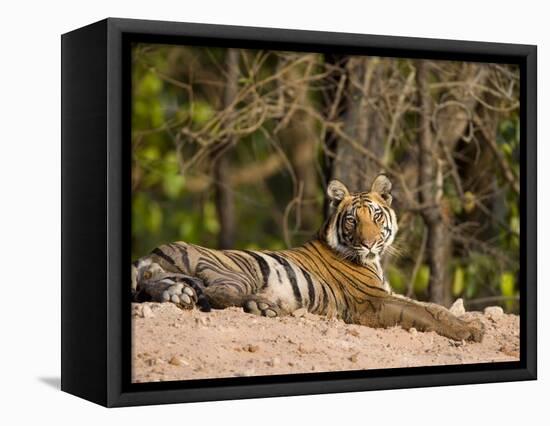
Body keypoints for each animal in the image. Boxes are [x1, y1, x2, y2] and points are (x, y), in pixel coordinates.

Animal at [132, 174, 486, 342]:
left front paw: (472, 324)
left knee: (158, 287)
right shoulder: (372, 302)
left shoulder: (387, 293)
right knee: (219, 294)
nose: (370, 243)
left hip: (168, 275)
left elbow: (435, 307)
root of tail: (154, 251)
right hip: (235, 271)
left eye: (375, 216)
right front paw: (466, 332)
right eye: (352, 220)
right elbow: (423, 314)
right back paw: (266, 307)